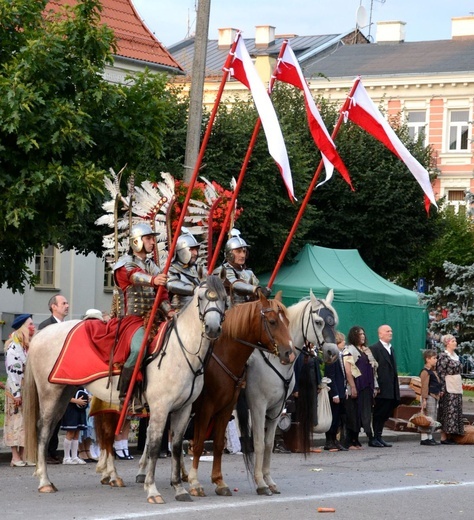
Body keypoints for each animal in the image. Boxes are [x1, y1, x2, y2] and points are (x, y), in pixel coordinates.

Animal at [24, 272, 228, 504]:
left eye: (224, 297)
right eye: (201, 297)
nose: (213, 329)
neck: (181, 351)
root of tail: (41, 333)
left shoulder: (184, 409)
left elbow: (176, 446)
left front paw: (179, 488)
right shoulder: (160, 408)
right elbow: (154, 445)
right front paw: (152, 489)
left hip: (64, 392)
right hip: (49, 393)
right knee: (43, 430)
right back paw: (45, 481)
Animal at [186, 290, 296, 498]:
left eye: (288, 321)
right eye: (272, 321)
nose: (289, 354)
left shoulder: (229, 407)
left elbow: (220, 444)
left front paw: (219, 482)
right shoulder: (210, 407)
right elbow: (199, 443)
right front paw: (195, 482)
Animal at [241, 288, 336, 496]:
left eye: (335, 321)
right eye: (319, 321)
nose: (333, 352)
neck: (275, 359)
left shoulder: (277, 409)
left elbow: (268, 443)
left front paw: (269, 481)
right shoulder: (258, 406)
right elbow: (258, 443)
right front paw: (260, 483)